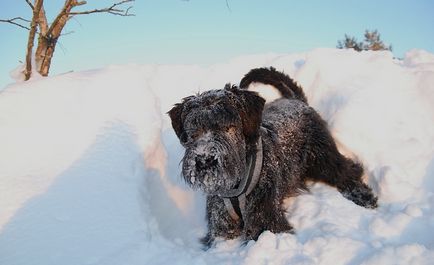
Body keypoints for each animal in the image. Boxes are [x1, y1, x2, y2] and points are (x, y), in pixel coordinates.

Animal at [168, 67, 378, 246]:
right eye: (193, 130)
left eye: (229, 126)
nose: (205, 160)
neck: (236, 186)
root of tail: (296, 100)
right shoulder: (220, 228)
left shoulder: (265, 221)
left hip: (322, 156)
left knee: (347, 170)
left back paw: (363, 196)